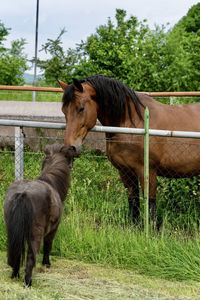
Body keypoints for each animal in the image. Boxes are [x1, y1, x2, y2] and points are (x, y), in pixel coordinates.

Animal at [4, 144, 77, 288]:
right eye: (70, 158)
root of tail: (23, 194)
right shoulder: (53, 229)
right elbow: (48, 245)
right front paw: (46, 263)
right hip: (35, 234)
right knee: (31, 257)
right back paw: (28, 282)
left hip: (12, 231)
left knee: (15, 252)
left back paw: (15, 275)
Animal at [58, 75, 200, 225]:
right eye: (64, 111)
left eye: (81, 108)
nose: (69, 148)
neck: (133, 124)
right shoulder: (125, 171)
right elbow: (133, 201)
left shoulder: (148, 171)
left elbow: (150, 203)